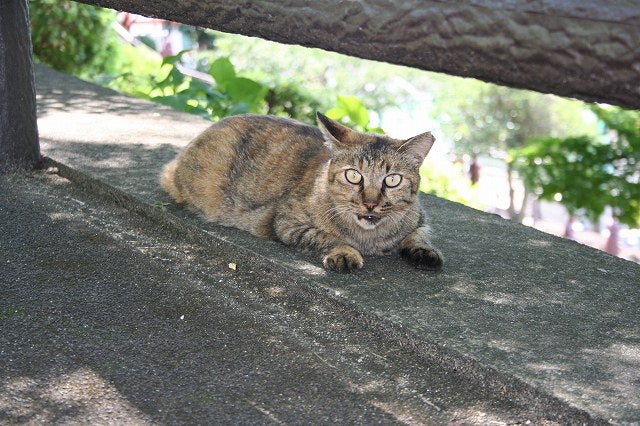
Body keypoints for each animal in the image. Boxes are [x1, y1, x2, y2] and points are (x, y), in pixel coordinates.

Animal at [161, 112, 443, 273]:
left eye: (392, 180)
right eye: (353, 175)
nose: (371, 203)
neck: (370, 238)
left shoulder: (419, 218)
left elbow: (419, 234)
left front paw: (423, 250)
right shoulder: (286, 222)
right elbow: (330, 237)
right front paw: (345, 252)